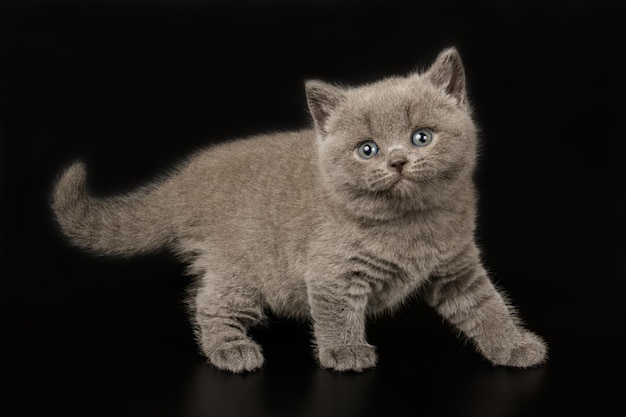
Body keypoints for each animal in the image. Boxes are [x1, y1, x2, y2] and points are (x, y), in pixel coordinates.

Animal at [52, 48, 544, 370]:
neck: (411, 224)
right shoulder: (332, 272)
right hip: (242, 266)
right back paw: (231, 350)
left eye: (422, 136)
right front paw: (346, 353)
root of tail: (186, 180)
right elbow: (335, 312)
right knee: (209, 301)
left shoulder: (457, 266)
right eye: (367, 149)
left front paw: (515, 346)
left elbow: (486, 306)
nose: (398, 161)